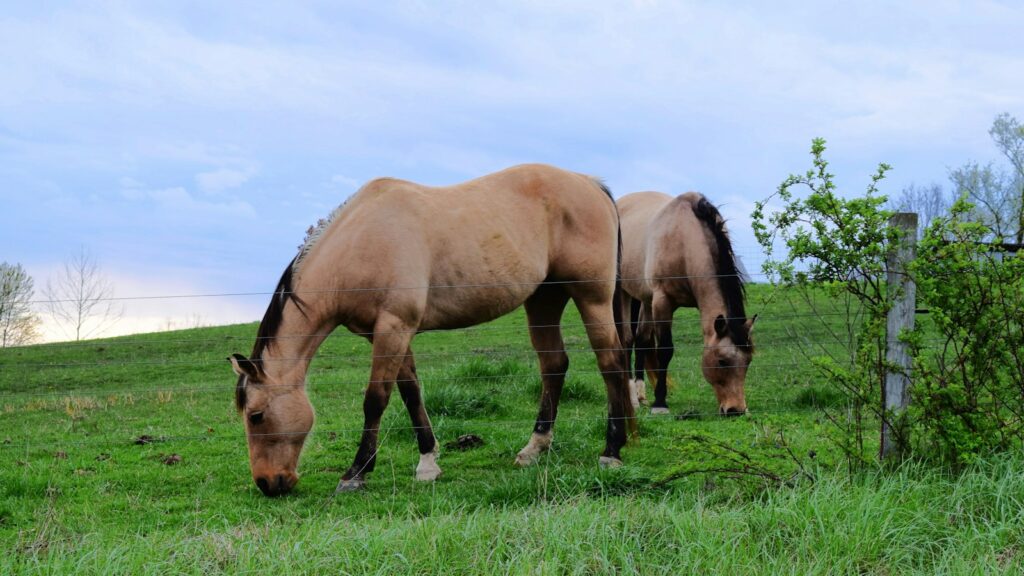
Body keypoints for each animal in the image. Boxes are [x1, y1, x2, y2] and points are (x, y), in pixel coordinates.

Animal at [229, 164, 635, 496]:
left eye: (256, 416)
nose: (267, 483)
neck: (362, 241)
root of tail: (590, 183)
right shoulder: (391, 332)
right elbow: (411, 393)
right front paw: (428, 462)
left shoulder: (393, 327)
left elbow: (376, 399)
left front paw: (356, 473)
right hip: (544, 299)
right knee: (554, 365)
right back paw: (534, 449)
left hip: (592, 297)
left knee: (610, 363)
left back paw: (611, 451)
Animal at [618, 191, 755, 416]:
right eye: (722, 361)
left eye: (748, 361)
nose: (736, 409)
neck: (684, 241)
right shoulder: (662, 302)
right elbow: (665, 351)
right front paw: (660, 403)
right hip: (623, 293)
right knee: (627, 340)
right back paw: (632, 399)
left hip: (646, 299)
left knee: (642, 341)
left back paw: (641, 395)